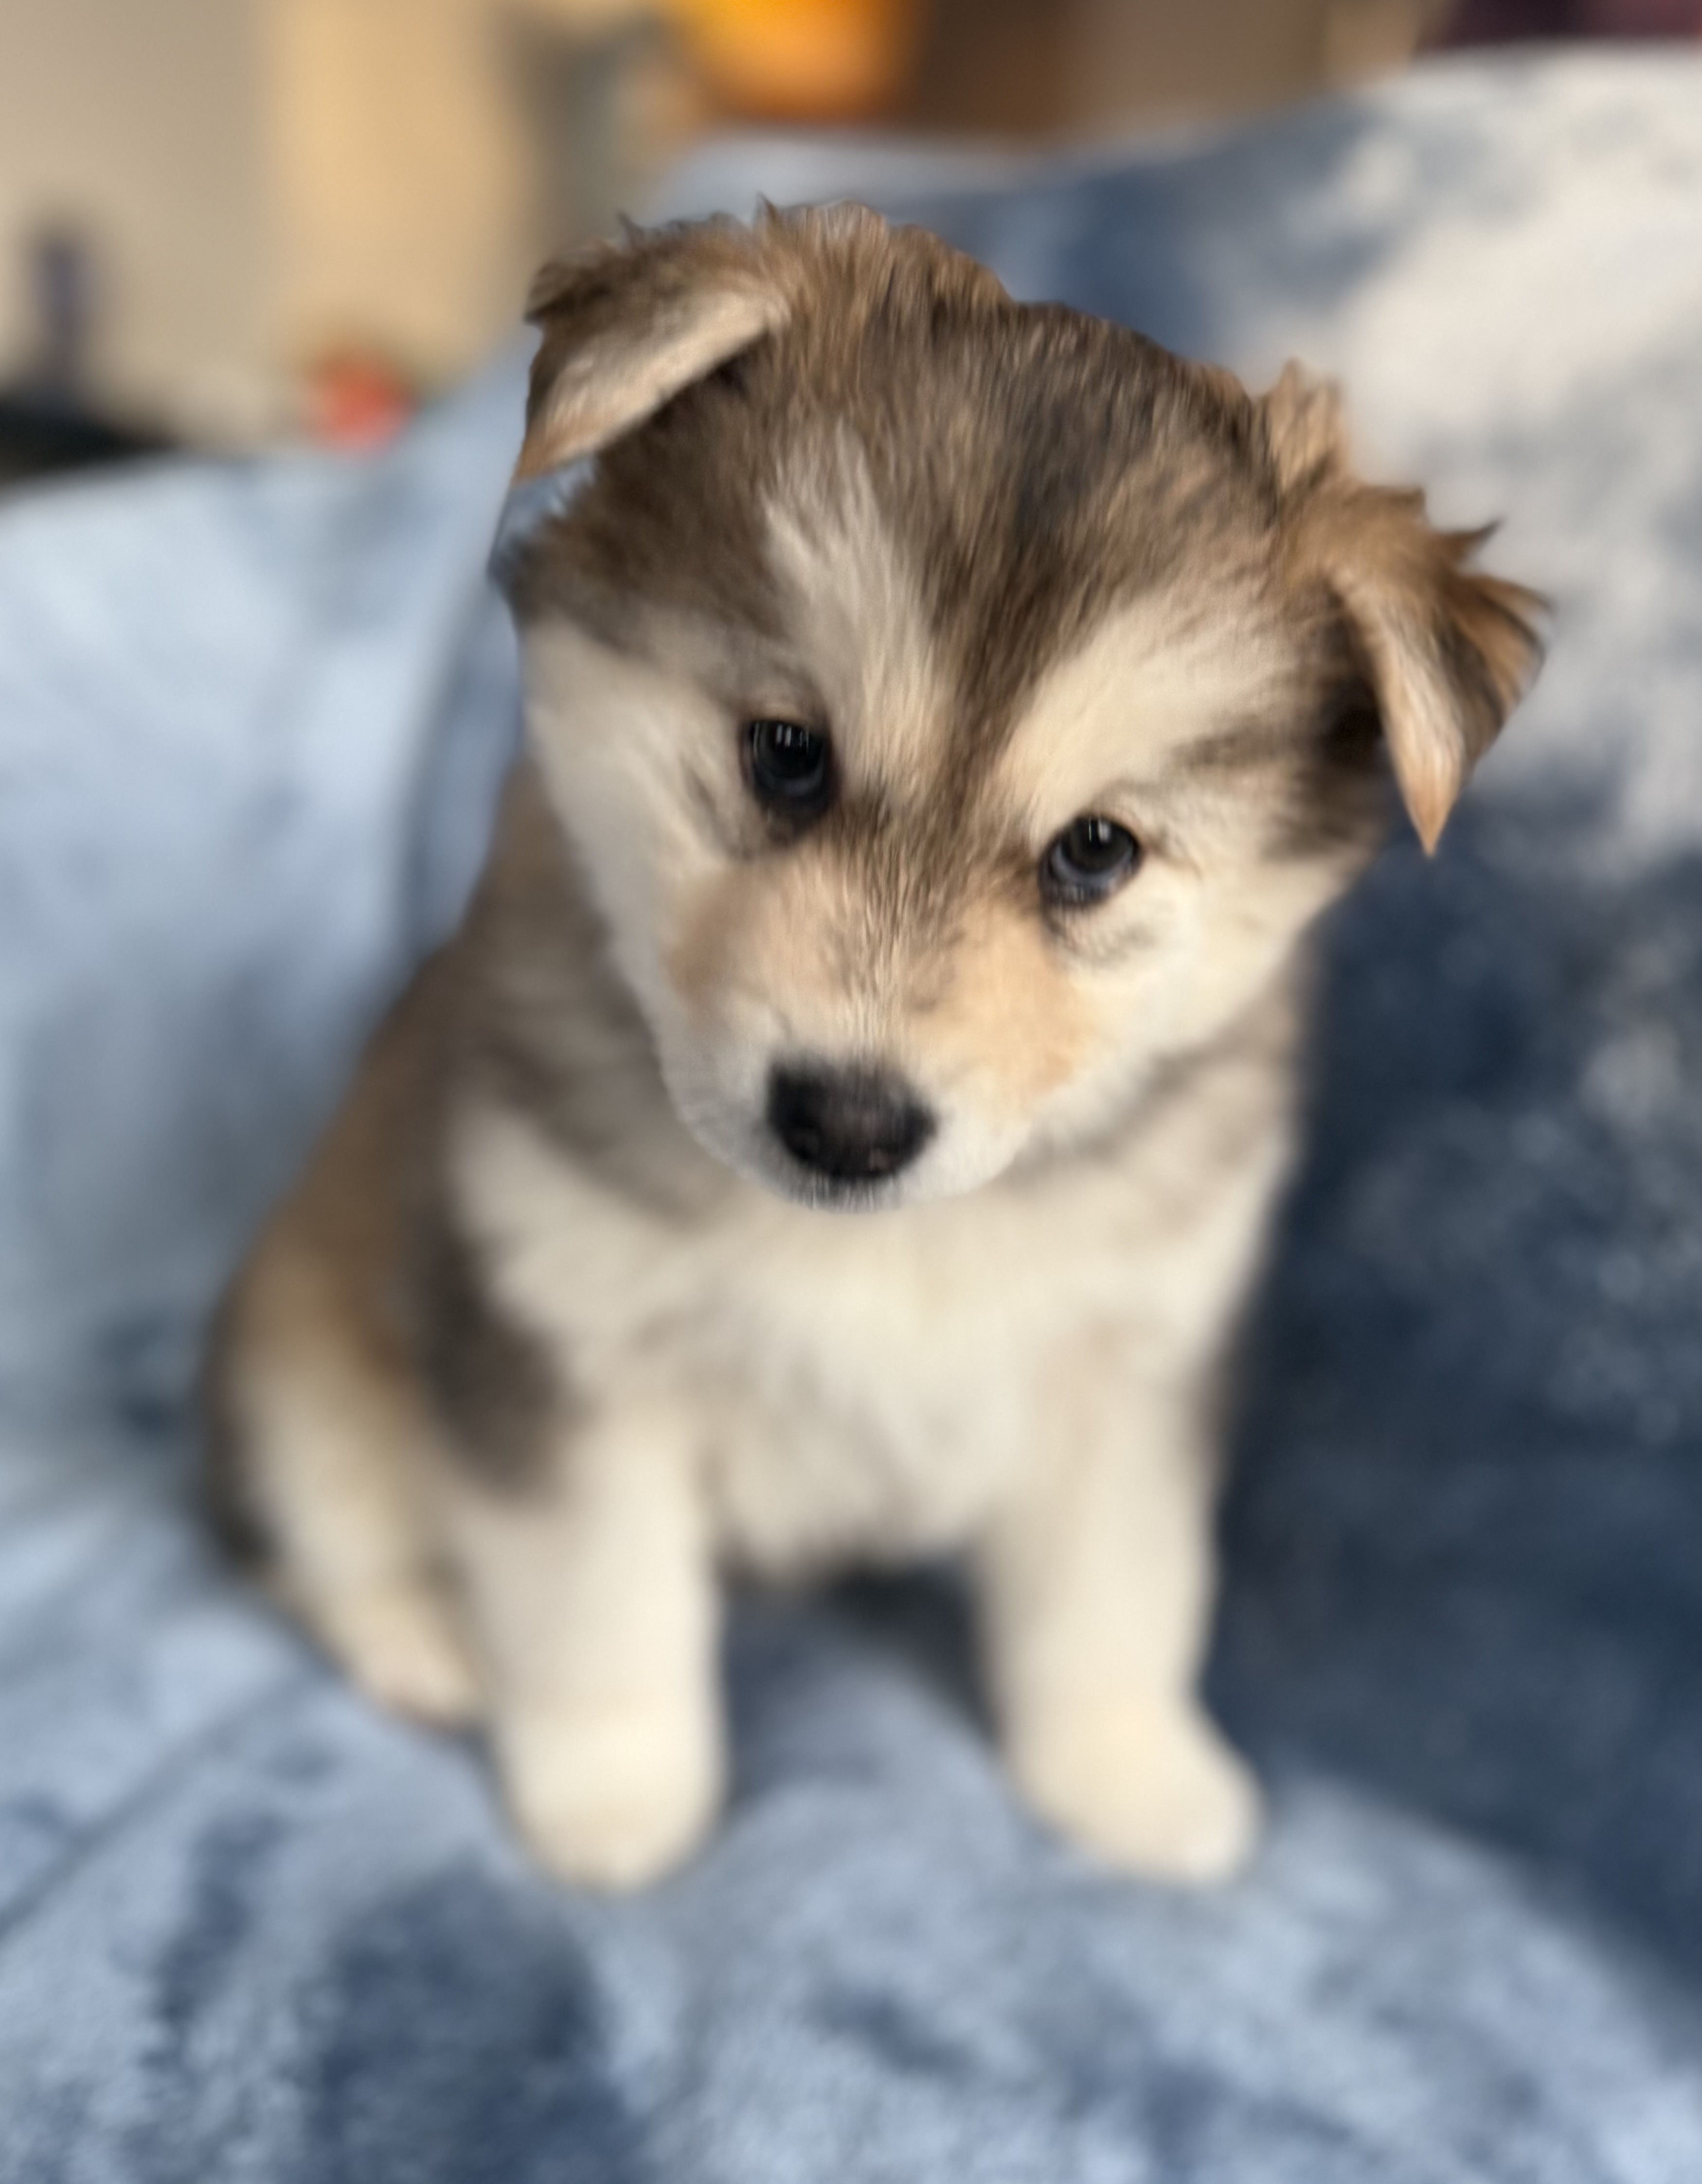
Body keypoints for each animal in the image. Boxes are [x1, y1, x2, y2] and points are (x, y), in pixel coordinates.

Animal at [205, 204, 1542, 1890]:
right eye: (785, 753)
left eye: (1095, 851)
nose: (844, 1122)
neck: (882, 1240)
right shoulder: (557, 1338)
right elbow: (595, 1598)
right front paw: (614, 1797)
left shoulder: (1131, 1363)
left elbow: (1118, 1588)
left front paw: (1124, 1770)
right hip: (296, 1348)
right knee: (322, 1528)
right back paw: (421, 1641)